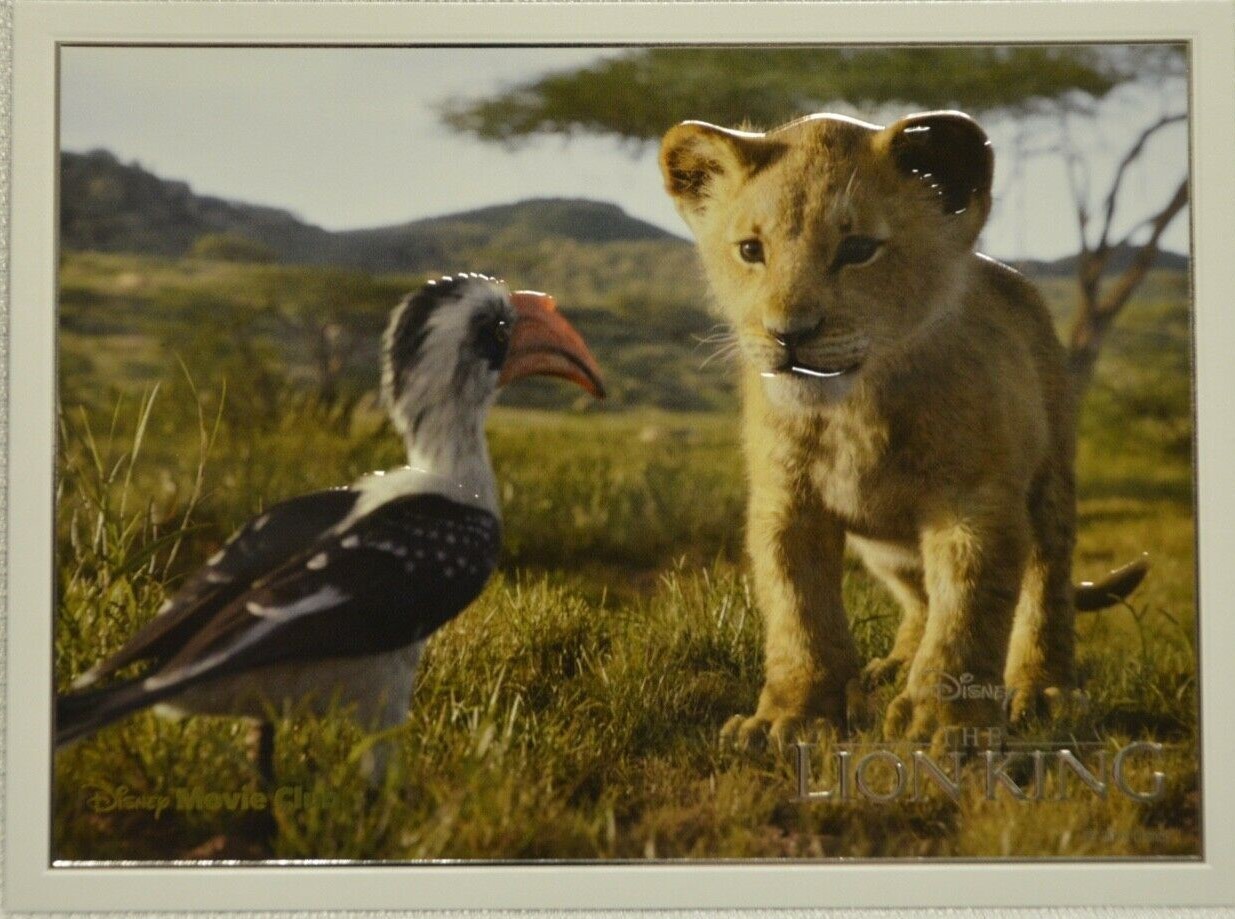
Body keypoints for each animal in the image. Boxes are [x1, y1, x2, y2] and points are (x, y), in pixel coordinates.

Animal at [659, 110, 1146, 747]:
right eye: (750, 250)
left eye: (858, 249)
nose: (789, 334)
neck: (854, 410)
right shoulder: (786, 503)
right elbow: (798, 612)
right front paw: (791, 717)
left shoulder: (974, 503)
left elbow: (968, 610)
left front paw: (945, 722)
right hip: (884, 546)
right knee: (918, 596)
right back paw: (893, 667)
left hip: (1051, 481)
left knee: (1046, 584)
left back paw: (1044, 691)